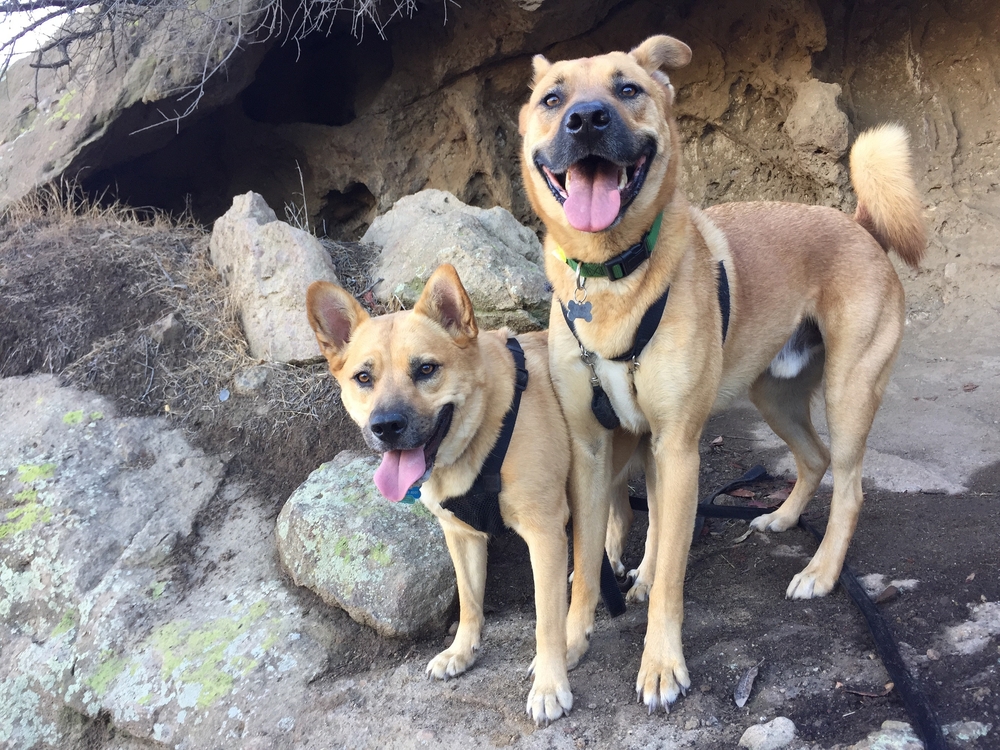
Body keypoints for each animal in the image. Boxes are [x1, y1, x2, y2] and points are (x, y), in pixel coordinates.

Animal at [304, 268, 576, 724]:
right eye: (364, 377)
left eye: (426, 369)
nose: (386, 426)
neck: (486, 428)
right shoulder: (460, 535)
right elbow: (469, 601)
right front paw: (461, 652)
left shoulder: (545, 535)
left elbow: (547, 621)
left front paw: (550, 684)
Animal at [520, 36, 924, 712]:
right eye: (553, 99)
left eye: (627, 89)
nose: (587, 120)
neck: (612, 280)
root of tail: (859, 224)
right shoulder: (594, 449)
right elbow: (588, 556)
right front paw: (570, 641)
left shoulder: (678, 449)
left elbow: (668, 571)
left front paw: (661, 665)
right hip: (774, 396)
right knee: (812, 458)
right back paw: (782, 518)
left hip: (848, 396)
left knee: (849, 486)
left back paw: (821, 571)